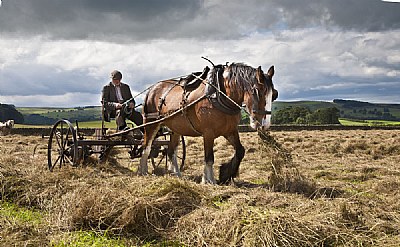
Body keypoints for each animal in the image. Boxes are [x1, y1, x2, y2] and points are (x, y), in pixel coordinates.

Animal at [139, 62, 276, 184]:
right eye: (257, 91)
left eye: (274, 94)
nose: (264, 124)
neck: (219, 94)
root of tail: (152, 89)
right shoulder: (208, 133)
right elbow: (209, 158)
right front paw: (209, 180)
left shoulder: (230, 130)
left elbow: (240, 151)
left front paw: (225, 174)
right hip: (151, 122)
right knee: (147, 146)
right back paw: (143, 171)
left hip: (175, 129)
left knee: (171, 150)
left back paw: (177, 174)